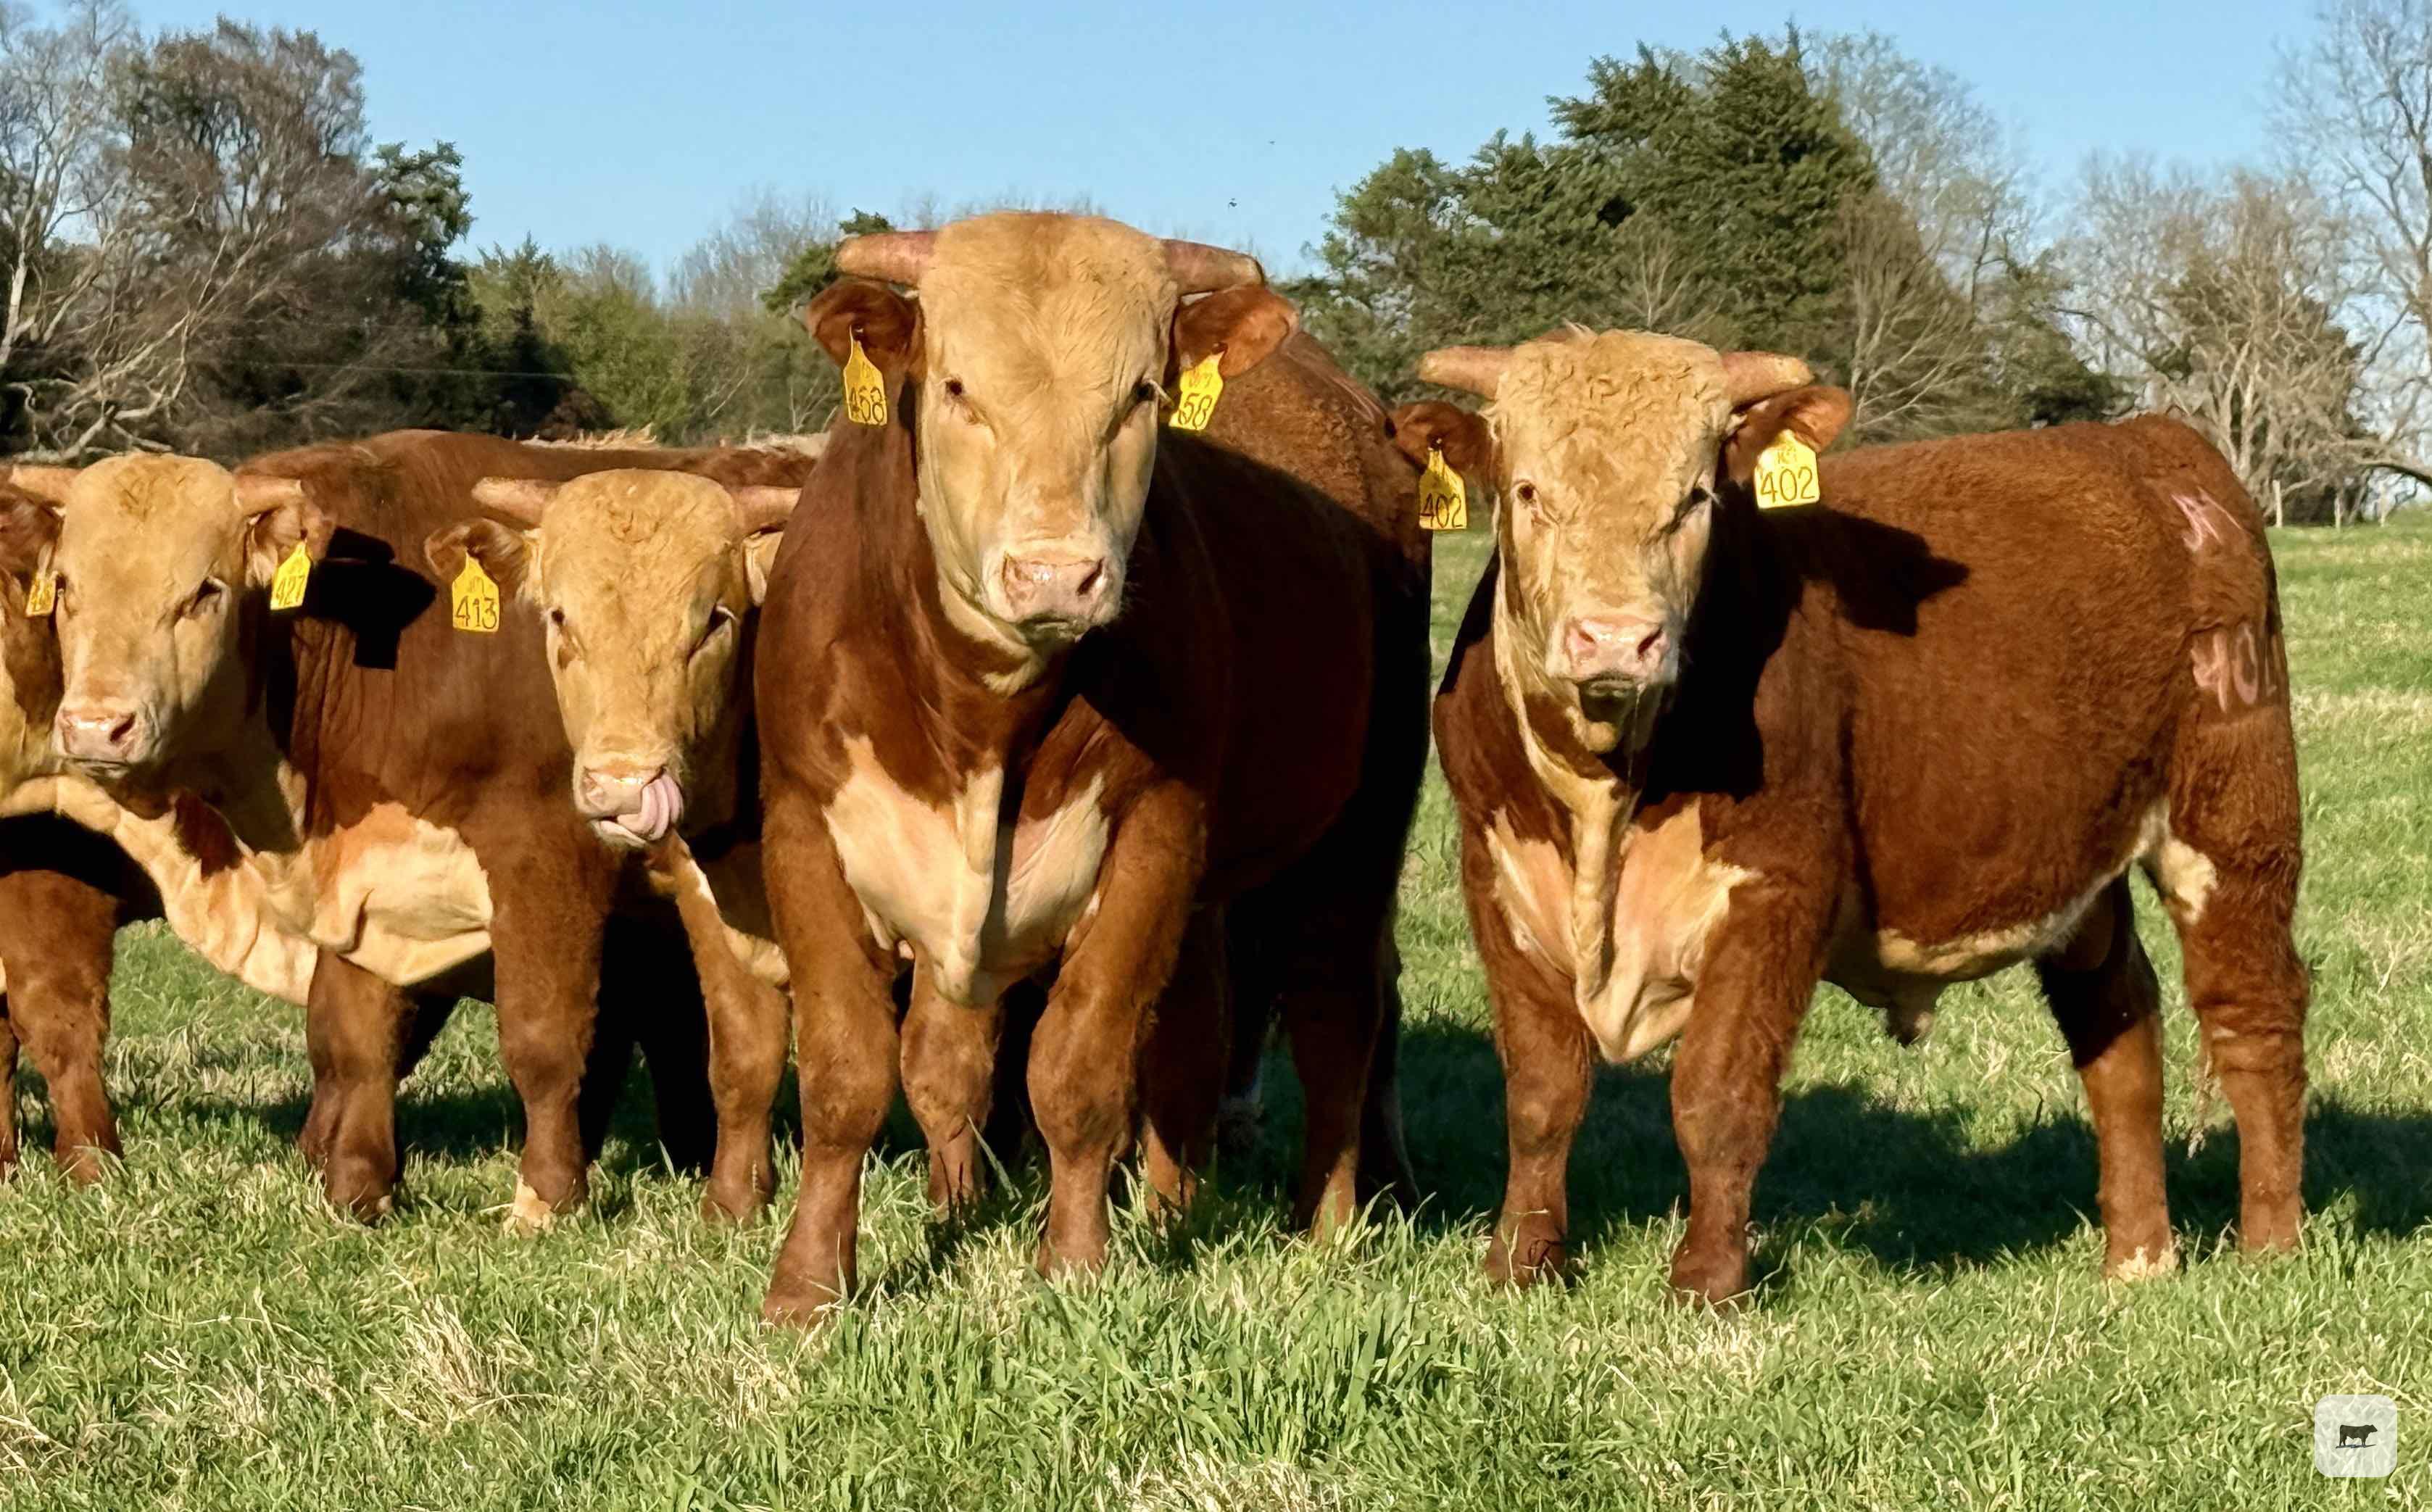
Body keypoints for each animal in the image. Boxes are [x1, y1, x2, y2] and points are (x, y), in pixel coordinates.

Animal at [5, 431, 822, 1225]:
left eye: (203, 593)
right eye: (67, 588)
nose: (96, 727)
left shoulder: (546, 860)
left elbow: (546, 1037)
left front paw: (547, 1198)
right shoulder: (362, 872)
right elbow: (354, 1037)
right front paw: (357, 1190)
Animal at [752, 212, 1428, 1322]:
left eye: (1140, 393)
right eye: (954, 386)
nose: (1054, 573)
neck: (979, 711)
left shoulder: (1153, 827)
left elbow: (1078, 1065)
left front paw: (1072, 1263)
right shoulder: (805, 824)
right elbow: (863, 1069)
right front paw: (819, 1277)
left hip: (1362, 816)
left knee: (1336, 1005)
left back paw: (1327, 1223)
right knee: (1196, 1029)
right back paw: (1168, 1204)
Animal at [1405, 329, 2305, 1304]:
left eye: (1694, 498)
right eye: (1528, 491)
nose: (1615, 638)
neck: (1607, 789)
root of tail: (2156, 448)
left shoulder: (1779, 883)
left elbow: (1716, 1092)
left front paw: (1706, 1281)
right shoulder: (1494, 875)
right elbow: (1541, 1091)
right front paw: (1518, 1263)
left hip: (2237, 815)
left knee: (2253, 1014)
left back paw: (2271, 1244)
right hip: (2078, 856)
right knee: (2117, 1021)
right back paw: (2138, 1254)